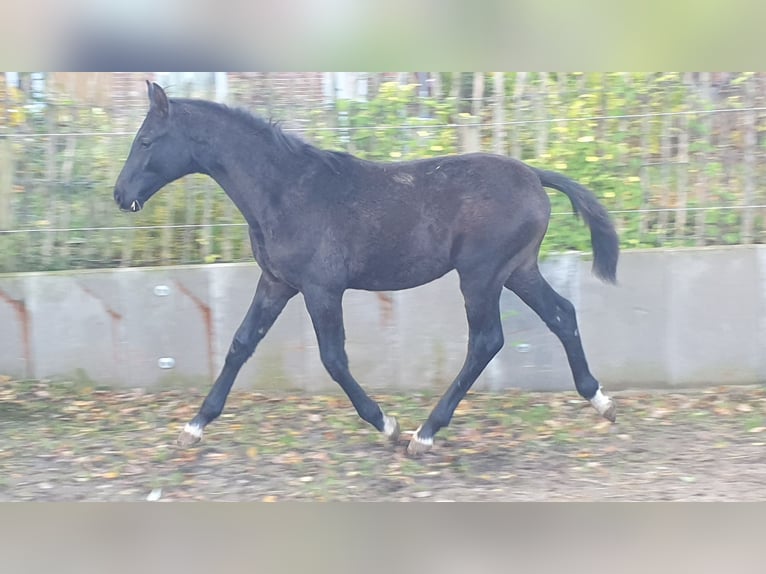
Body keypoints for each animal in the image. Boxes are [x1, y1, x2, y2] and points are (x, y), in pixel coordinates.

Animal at [112, 82, 616, 460]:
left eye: (146, 141)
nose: (120, 195)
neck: (286, 190)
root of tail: (533, 175)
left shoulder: (321, 289)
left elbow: (334, 359)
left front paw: (387, 425)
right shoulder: (277, 283)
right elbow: (240, 345)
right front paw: (193, 427)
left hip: (481, 275)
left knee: (487, 340)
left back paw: (424, 434)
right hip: (518, 270)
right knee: (562, 314)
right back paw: (601, 401)